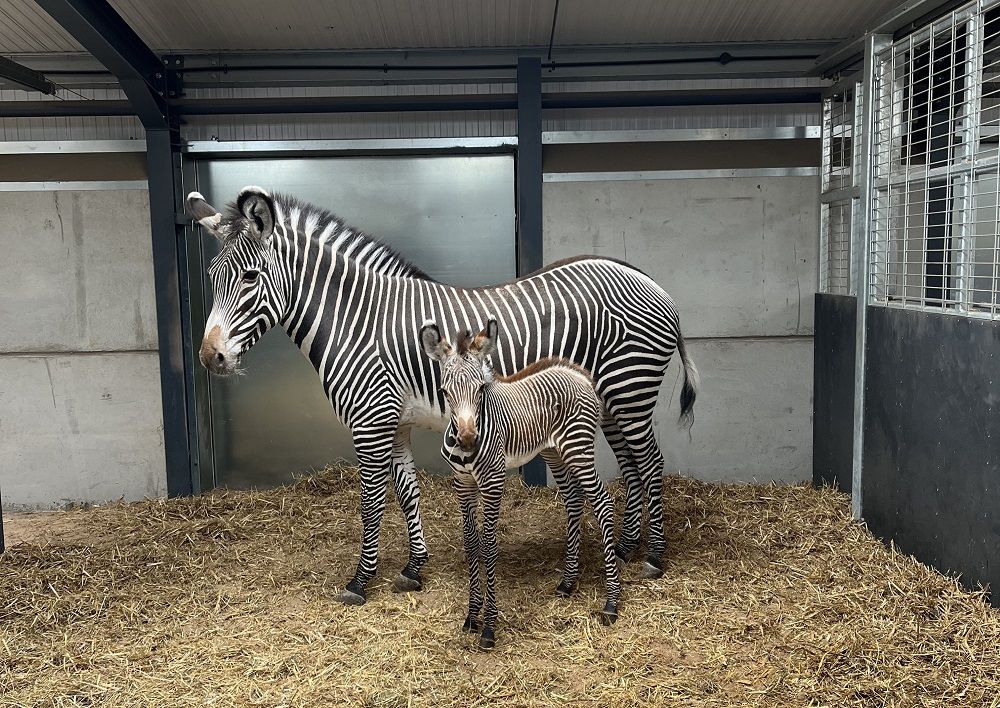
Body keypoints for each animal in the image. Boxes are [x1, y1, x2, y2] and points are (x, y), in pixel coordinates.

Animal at [186, 185, 698, 606]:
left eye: (250, 278)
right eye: (211, 277)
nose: (210, 358)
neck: (356, 320)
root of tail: (652, 281)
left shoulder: (370, 419)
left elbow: (371, 501)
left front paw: (361, 580)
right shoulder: (394, 421)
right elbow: (407, 492)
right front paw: (414, 567)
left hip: (630, 388)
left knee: (650, 462)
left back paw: (654, 556)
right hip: (608, 400)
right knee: (630, 466)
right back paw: (628, 547)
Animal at [421, 319, 621, 649]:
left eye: (480, 389)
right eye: (444, 392)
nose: (468, 441)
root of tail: (580, 374)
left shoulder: (492, 480)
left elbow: (488, 546)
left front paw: (489, 627)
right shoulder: (462, 484)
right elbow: (470, 543)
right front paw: (472, 614)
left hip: (578, 449)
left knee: (603, 503)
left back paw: (612, 602)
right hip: (554, 452)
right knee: (573, 500)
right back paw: (568, 582)